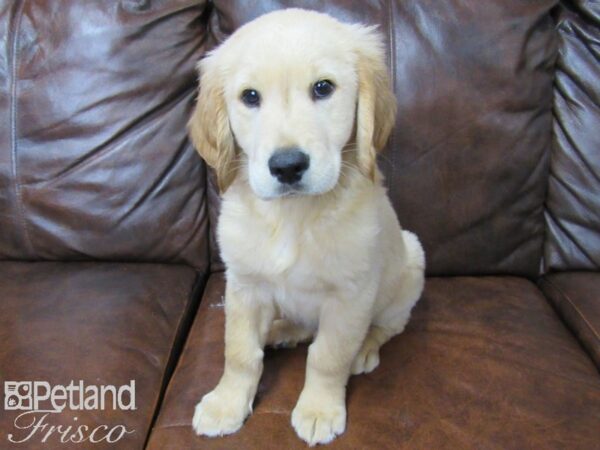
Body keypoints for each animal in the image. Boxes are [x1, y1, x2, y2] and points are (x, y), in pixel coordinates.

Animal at [190, 7, 424, 446]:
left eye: (323, 88)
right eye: (250, 97)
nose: (287, 166)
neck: (292, 216)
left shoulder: (350, 295)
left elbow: (327, 356)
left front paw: (318, 410)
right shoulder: (244, 285)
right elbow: (239, 352)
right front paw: (226, 403)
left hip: (411, 266)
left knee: (388, 326)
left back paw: (364, 348)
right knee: (299, 328)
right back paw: (280, 329)